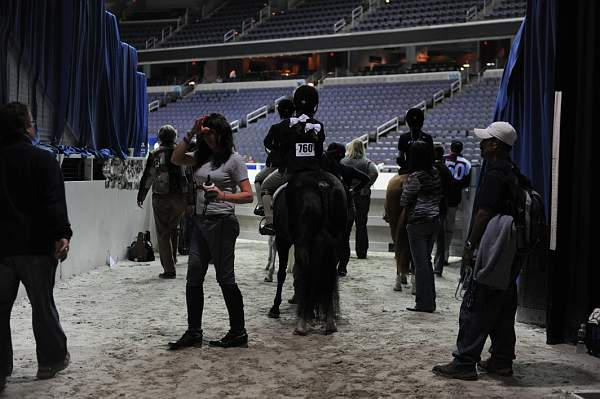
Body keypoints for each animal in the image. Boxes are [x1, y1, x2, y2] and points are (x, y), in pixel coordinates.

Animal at [268, 170, 346, 336]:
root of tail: (323, 184)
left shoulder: (282, 240)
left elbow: (282, 273)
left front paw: (275, 308)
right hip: (334, 243)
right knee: (328, 274)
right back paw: (328, 321)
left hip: (302, 243)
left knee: (305, 271)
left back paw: (303, 322)